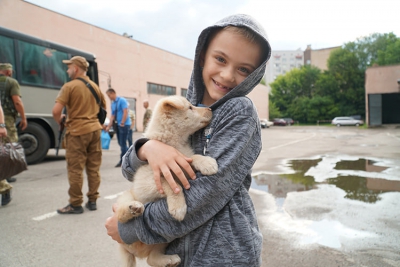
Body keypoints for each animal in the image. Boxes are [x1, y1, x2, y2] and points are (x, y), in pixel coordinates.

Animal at [115, 96, 219, 267]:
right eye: (190, 108)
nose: (210, 109)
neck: (173, 142)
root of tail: (131, 251)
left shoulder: (184, 164)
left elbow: (193, 157)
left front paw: (207, 163)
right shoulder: (147, 181)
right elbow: (171, 184)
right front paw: (179, 207)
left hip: (163, 240)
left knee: (151, 258)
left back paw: (169, 260)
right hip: (127, 197)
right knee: (120, 216)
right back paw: (134, 208)